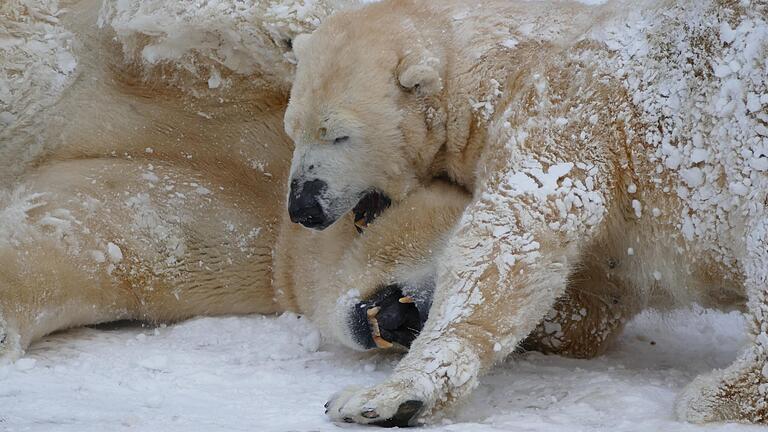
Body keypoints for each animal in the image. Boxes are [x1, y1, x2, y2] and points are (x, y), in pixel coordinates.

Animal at [282, 0, 768, 426]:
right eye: (293, 129)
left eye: (337, 135)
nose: (301, 206)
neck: (507, 65)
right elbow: (587, 307)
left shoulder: (568, 108)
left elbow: (513, 235)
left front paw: (385, 398)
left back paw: (717, 395)